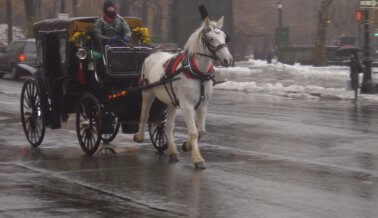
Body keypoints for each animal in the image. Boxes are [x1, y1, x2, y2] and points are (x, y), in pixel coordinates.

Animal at [133, 16, 233, 169]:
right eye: (210, 38)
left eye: (223, 36)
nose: (228, 59)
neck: (199, 73)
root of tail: (152, 54)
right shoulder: (187, 106)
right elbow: (193, 132)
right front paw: (197, 158)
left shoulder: (203, 105)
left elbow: (201, 130)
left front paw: (187, 145)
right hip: (147, 93)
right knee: (144, 115)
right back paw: (139, 137)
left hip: (171, 101)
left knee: (168, 125)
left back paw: (172, 151)